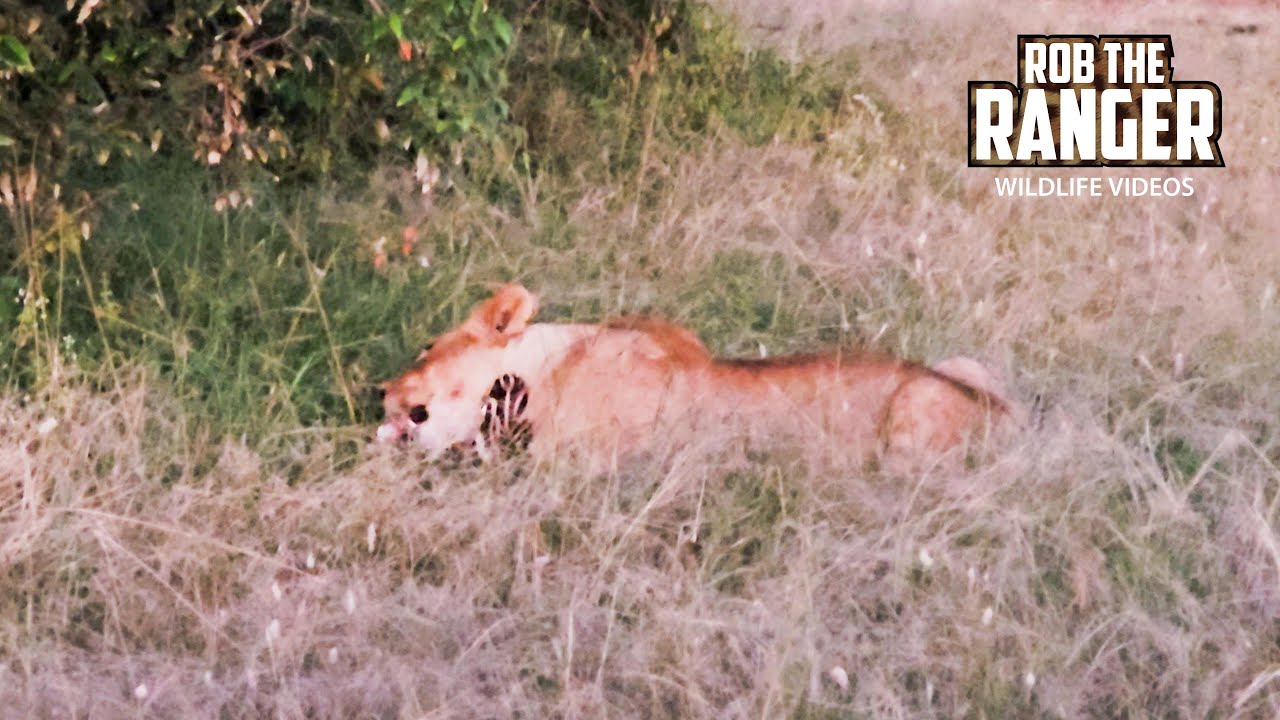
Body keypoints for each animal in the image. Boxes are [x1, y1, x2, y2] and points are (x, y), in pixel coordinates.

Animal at [377, 284, 1019, 473]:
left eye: (427, 347)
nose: (379, 394)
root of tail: (1012, 420)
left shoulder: (582, 466)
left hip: (914, 417)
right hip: (965, 362)